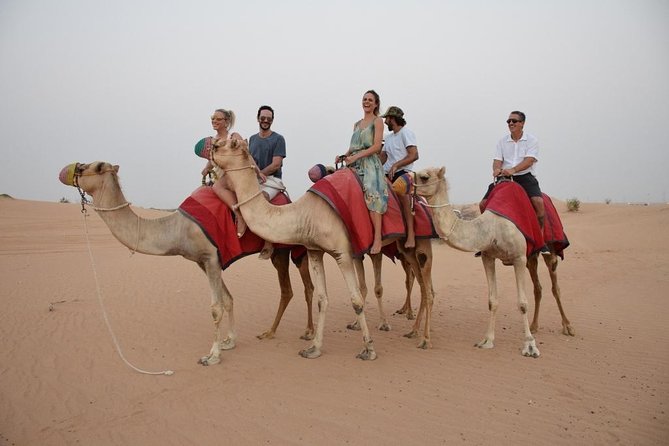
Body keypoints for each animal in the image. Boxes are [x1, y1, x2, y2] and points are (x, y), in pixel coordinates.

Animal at [58, 162, 318, 364]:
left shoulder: (211, 257)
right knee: (301, 287)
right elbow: (228, 300)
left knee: (295, 288)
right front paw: (229, 342)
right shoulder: (204, 262)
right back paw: (296, 331)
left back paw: (288, 333)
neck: (177, 228)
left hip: (287, 250)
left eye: (86, 167)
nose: (65, 172)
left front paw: (212, 356)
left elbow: (215, 308)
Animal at [211, 139, 436, 358]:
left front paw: (369, 349)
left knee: (425, 286)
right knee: (420, 284)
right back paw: (415, 330)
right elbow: (322, 299)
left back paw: (421, 336)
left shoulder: (342, 253)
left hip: (417, 244)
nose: (213, 146)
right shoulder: (314, 250)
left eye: (232, 143)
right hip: (399, 251)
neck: (306, 214)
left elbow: (355, 300)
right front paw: (314, 348)